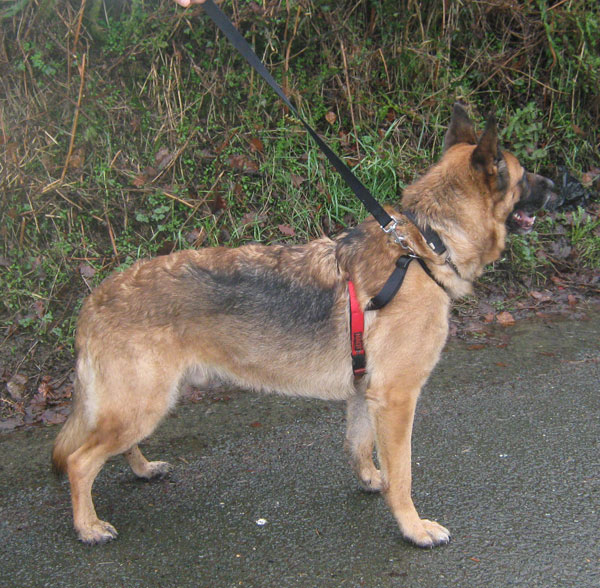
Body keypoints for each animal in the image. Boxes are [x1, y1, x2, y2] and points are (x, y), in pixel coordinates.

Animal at [51, 104, 556, 548]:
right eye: (524, 174)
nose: (560, 183)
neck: (425, 242)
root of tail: (93, 300)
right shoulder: (396, 398)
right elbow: (403, 474)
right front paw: (413, 528)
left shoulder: (366, 391)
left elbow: (360, 445)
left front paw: (372, 480)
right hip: (142, 404)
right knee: (79, 461)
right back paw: (87, 526)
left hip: (143, 403)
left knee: (114, 446)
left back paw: (142, 469)